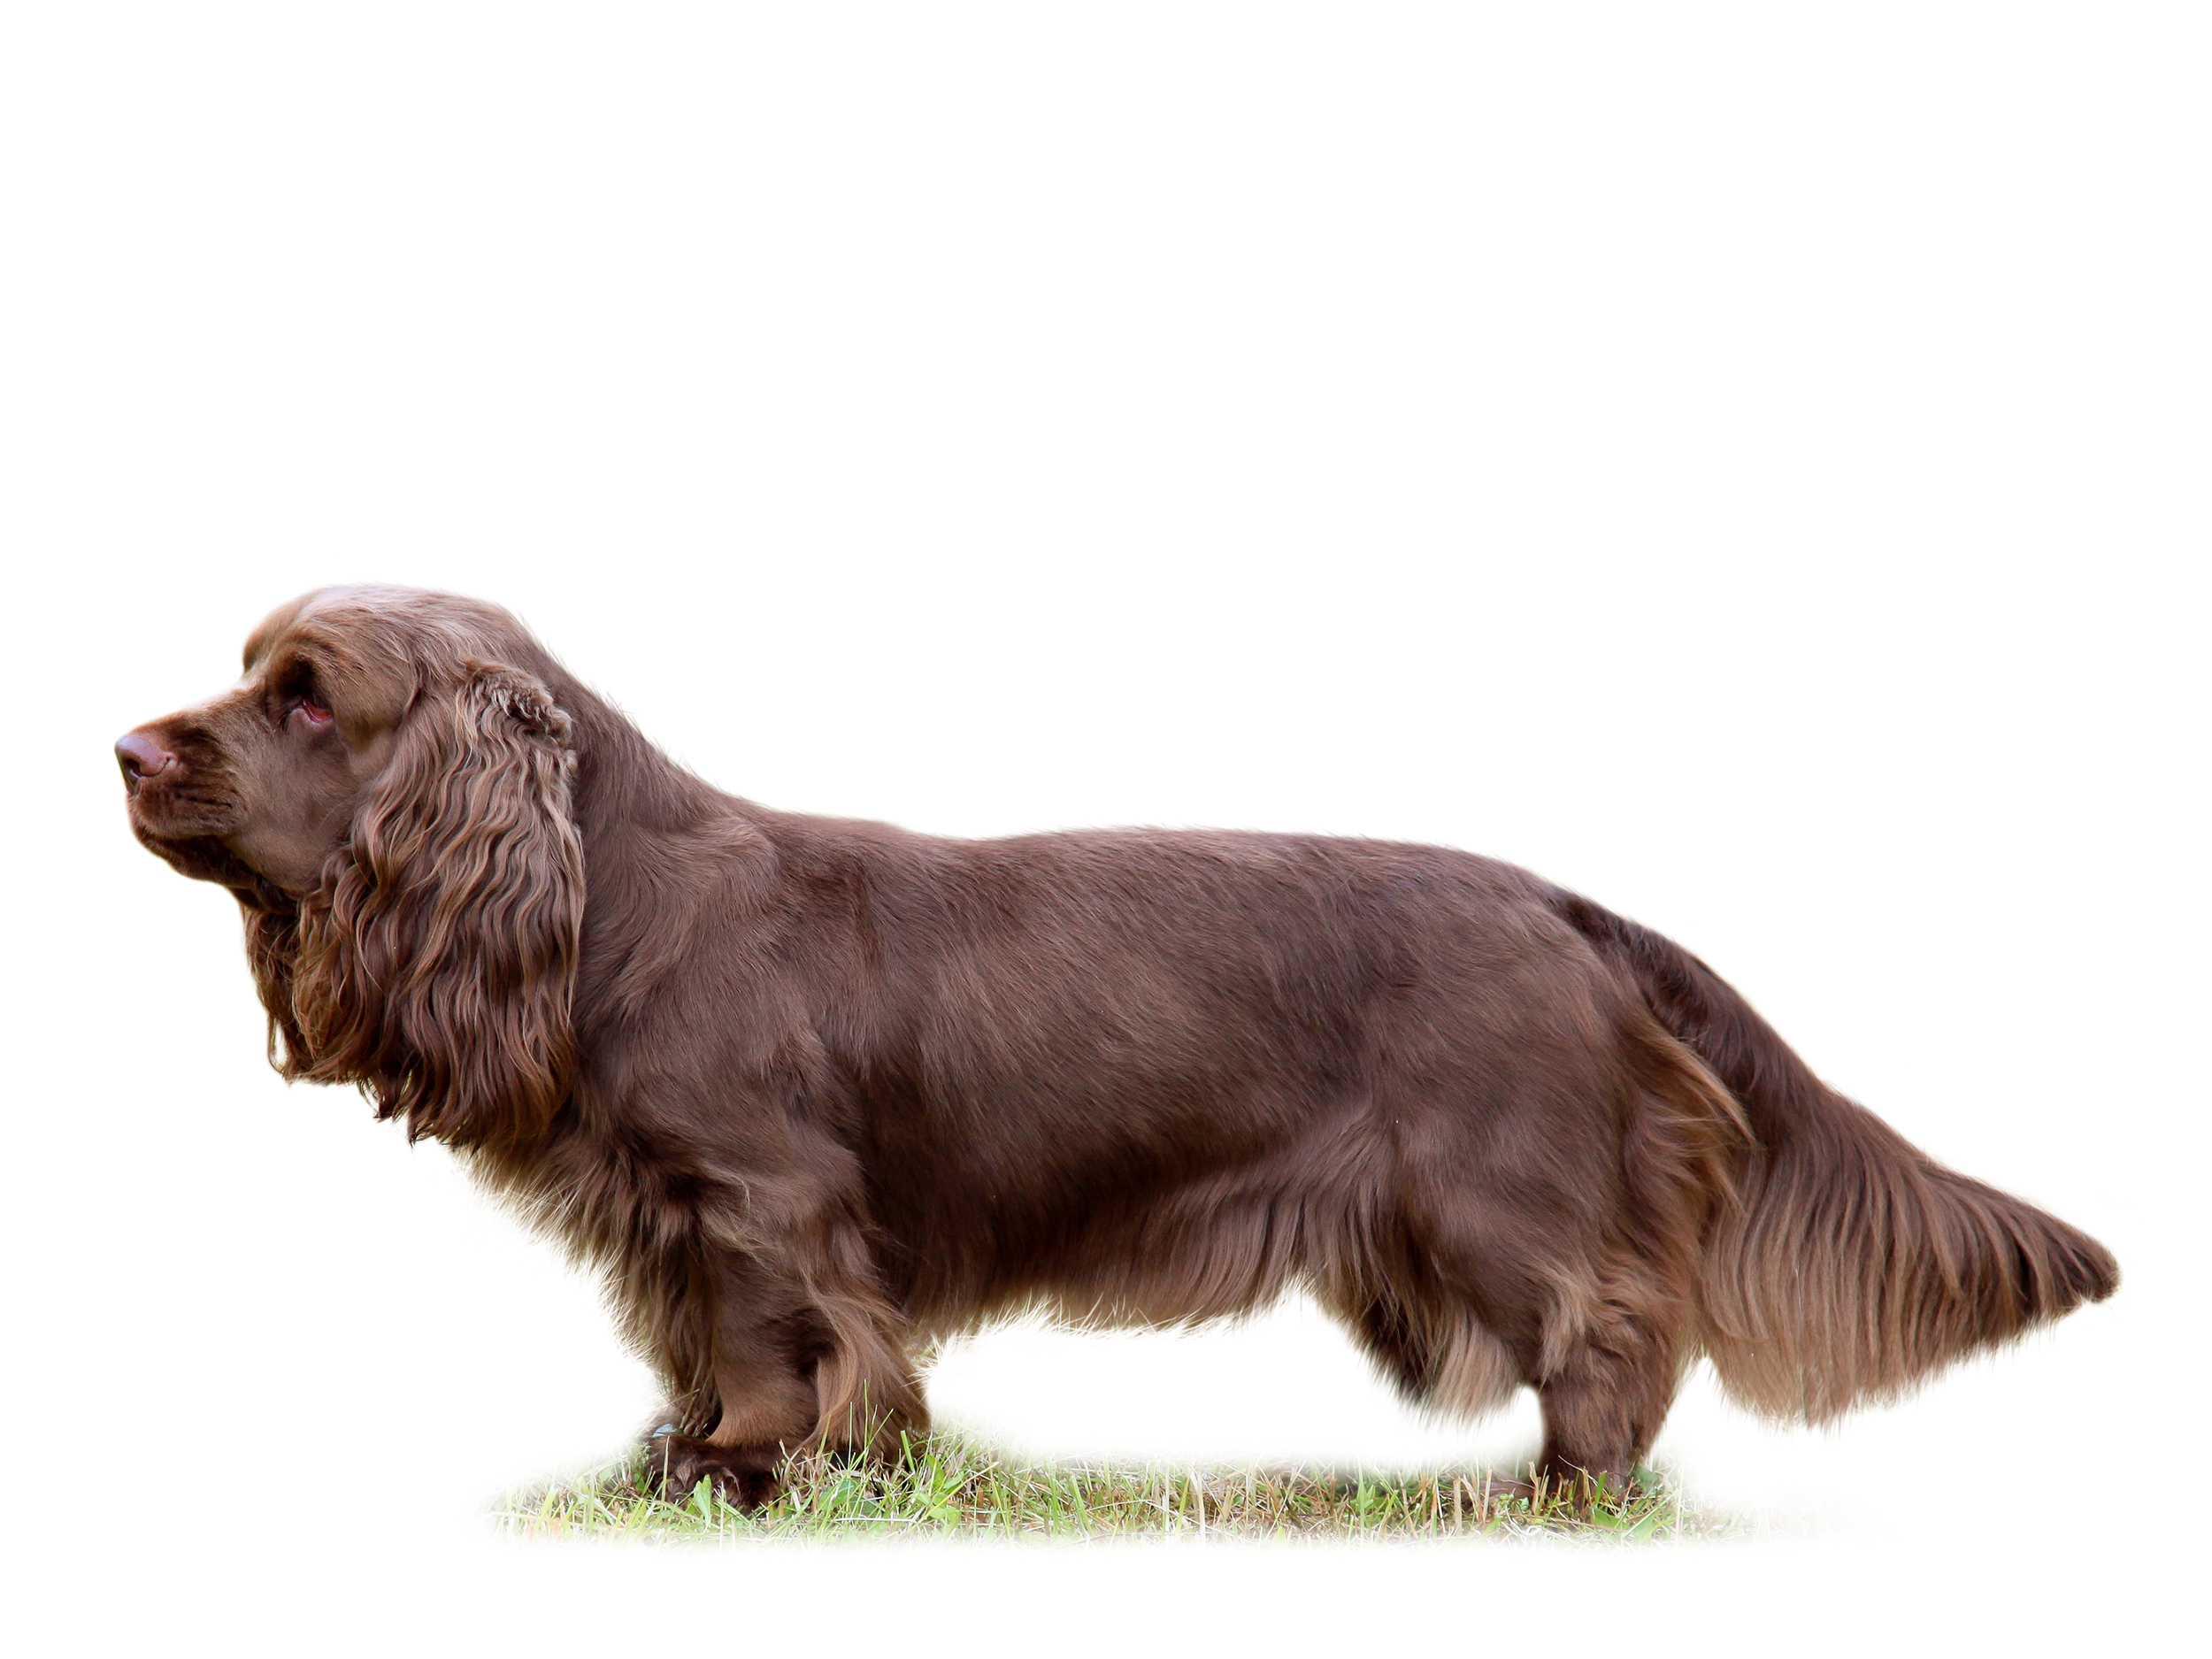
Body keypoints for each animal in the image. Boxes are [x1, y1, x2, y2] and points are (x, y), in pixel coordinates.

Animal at [111, 588, 2115, 1504]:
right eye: (251, 675)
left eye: (308, 698)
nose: (127, 747)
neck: (608, 896)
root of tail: (1562, 903)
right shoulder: (666, 1212)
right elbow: (693, 1336)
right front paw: (688, 1453)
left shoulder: (760, 1195)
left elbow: (774, 1336)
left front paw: (756, 1465)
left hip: (1494, 1185)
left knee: (1613, 1325)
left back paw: (1555, 1492)